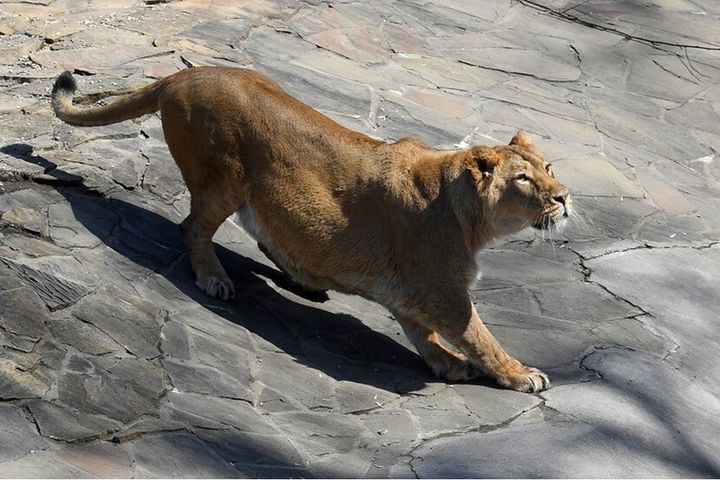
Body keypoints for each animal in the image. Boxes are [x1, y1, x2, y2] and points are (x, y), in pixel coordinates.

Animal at [51, 67, 571, 392]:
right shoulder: (443, 290)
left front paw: (446, 364)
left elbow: (422, 332)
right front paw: (520, 374)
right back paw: (215, 278)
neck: (466, 212)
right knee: (192, 227)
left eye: (548, 167)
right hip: (223, 178)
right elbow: (479, 336)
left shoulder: (412, 289)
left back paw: (303, 280)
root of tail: (184, 74)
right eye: (523, 179)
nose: (565, 196)